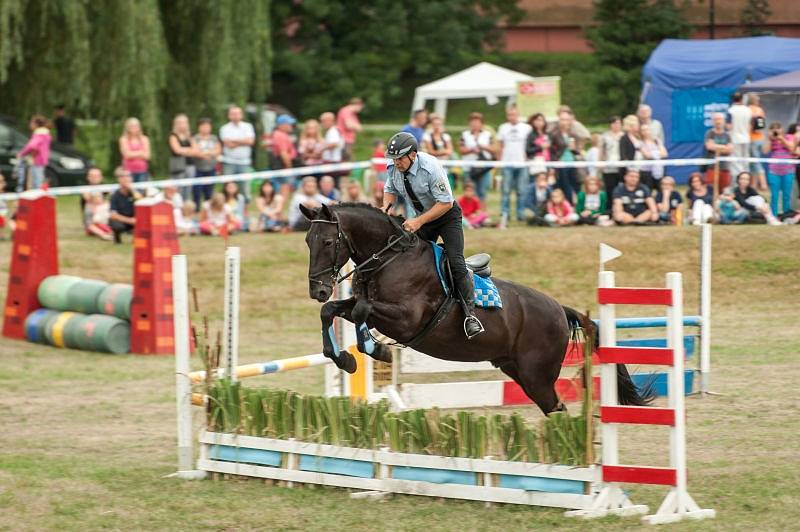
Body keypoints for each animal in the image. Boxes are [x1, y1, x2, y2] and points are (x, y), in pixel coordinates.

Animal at [302, 202, 648, 414]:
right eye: (308, 241)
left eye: (329, 242)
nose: (318, 289)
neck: (389, 257)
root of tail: (560, 311)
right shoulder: (365, 307)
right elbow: (332, 311)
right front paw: (345, 359)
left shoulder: (406, 319)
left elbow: (362, 312)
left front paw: (379, 351)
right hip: (518, 371)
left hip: (537, 375)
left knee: (558, 409)